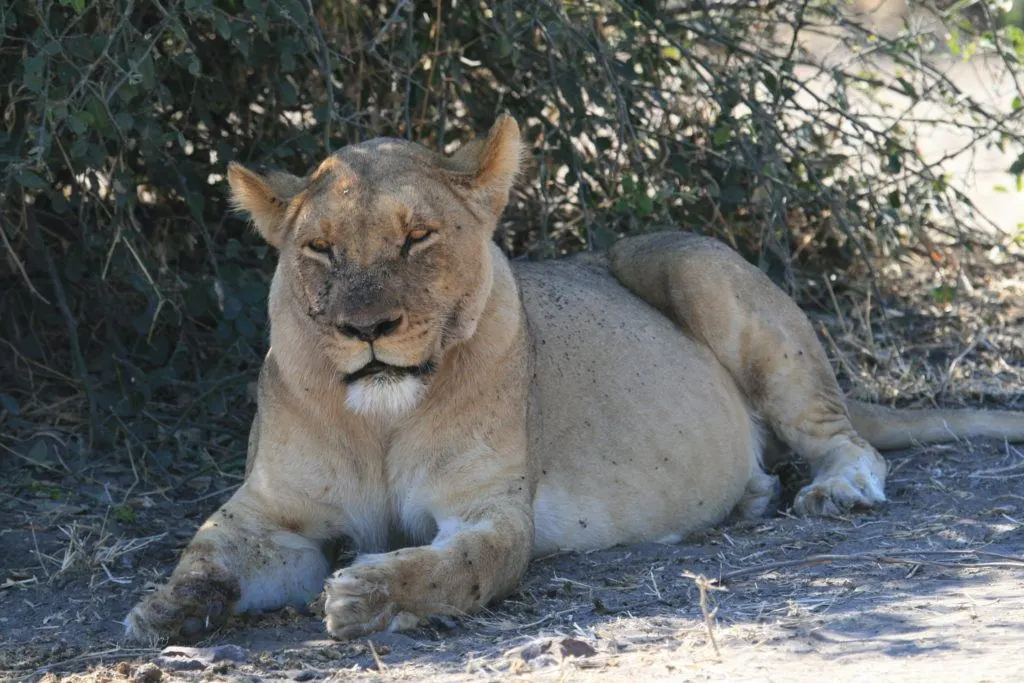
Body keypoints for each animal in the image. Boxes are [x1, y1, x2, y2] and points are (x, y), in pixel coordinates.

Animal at [125, 115, 1024, 642]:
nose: (366, 330)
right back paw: (751, 494)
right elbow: (206, 550)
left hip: (698, 268)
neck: (378, 416)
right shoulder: (271, 512)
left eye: (417, 237)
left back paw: (831, 490)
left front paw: (368, 594)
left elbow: (455, 569)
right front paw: (166, 608)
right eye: (319, 249)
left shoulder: (489, 509)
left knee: (847, 440)